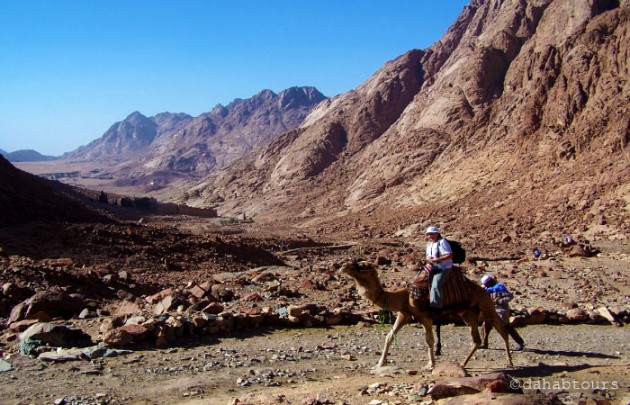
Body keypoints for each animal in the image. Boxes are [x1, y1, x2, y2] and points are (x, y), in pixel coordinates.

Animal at [340, 258, 512, 370]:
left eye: (362, 265)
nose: (343, 267)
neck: (404, 296)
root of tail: (484, 290)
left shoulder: (425, 316)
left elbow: (429, 340)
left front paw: (431, 364)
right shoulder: (404, 314)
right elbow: (389, 336)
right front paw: (380, 363)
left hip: (487, 305)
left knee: (502, 330)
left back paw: (509, 362)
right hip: (468, 313)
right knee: (476, 340)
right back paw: (462, 364)